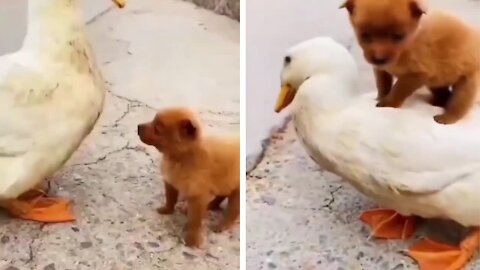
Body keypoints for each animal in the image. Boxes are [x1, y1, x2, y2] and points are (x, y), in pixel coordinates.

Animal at [137, 108, 238, 248]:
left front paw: (192, 240)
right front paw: (166, 210)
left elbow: (194, 221)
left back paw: (222, 225)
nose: (138, 126)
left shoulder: (198, 195)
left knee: (233, 210)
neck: (181, 158)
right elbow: (170, 198)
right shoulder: (171, 181)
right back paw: (210, 205)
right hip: (224, 182)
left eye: (158, 127)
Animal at [342, 0, 480, 124]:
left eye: (398, 36)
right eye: (365, 36)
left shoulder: (416, 74)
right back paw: (436, 102)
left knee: (459, 104)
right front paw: (380, 97)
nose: (379, 58)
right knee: (444, 94)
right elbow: (383, 85)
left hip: (468, 83)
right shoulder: (381, 69)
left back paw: (446, 117)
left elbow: (398, 89)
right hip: (436, 81)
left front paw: (387, 104)